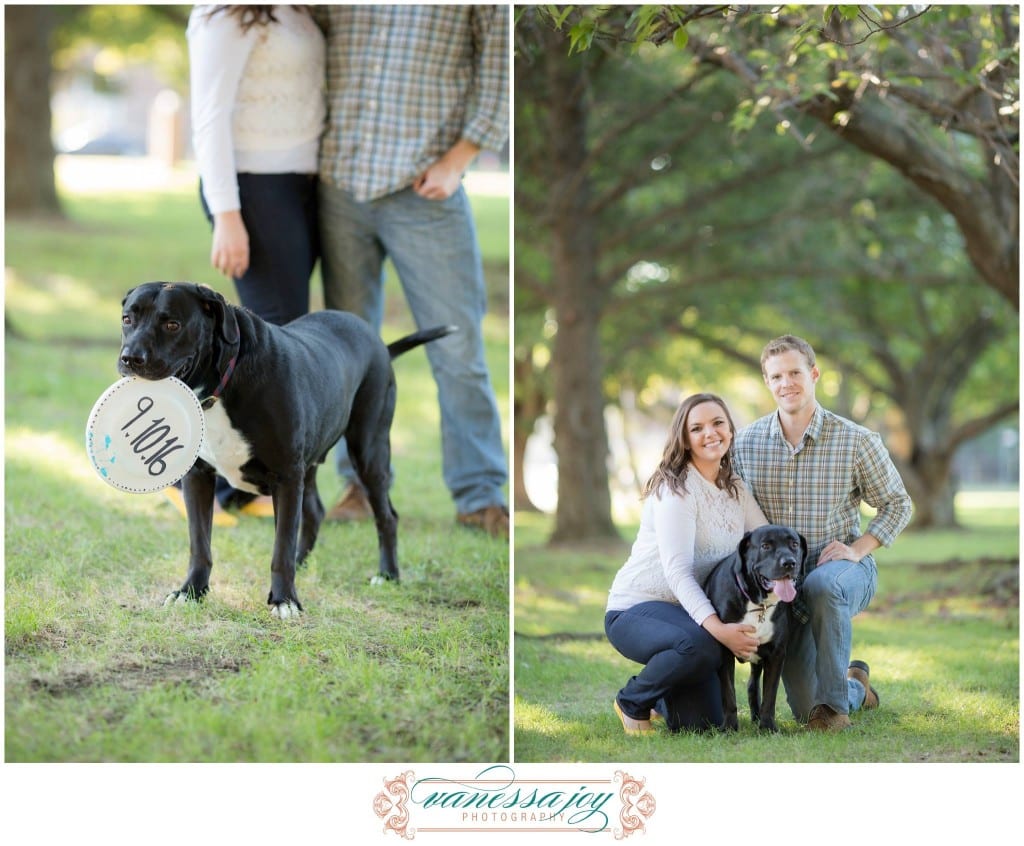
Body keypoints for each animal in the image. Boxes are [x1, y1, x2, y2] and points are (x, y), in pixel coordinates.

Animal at [117, 280, 452, 614]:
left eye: (172, 324)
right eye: (127, 319)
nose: (130, 358)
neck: (225, 381)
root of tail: (379, 343)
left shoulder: (287, 477)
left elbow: (281, 548)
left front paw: (284, 600)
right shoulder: (199, 476)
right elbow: (200, 544)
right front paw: (191, 591)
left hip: (369, 451)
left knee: (386, 516)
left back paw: (388, 574)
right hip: (312, 462)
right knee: (315, 512)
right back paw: (302, 563)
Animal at [700, 524, 802, 729]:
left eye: (794, 544)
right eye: (765, 546)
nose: (789, 563)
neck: (758, 604)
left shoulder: (776, 653)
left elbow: (770, 695)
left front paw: (767, 726)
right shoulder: (725, 649)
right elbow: (728, 693)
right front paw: (729, 727)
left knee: (753, 685)